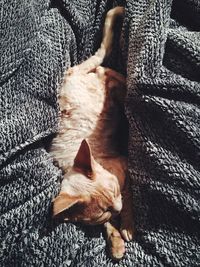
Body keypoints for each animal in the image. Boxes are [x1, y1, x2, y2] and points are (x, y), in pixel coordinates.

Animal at [50, 6, 134, 262]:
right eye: (103, 212)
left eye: (115, 190)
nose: (116, 209)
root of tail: (69, 76)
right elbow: (107, 227)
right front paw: (115, 240)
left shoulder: (125, 166)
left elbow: (130, 197)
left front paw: (127, 225)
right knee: (102, 68)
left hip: (107, 84)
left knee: (108, 70)